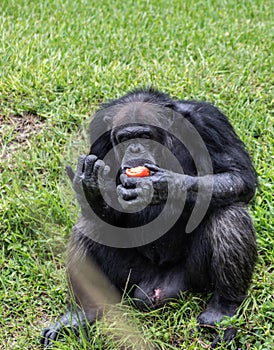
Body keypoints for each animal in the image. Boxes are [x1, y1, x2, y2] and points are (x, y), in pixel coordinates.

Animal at [41, 89, 256, 348]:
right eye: (125, 138)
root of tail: (155, 287)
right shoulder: (98, 134)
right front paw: (92, 185)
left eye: (144, 136)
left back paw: (221, 311)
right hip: (129, 278)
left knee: (229, 213)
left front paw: (162, 185)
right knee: (89, 228)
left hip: (191, 276)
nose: (134, 149)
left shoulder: (211, 122)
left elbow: (238, 175)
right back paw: (80, 313)